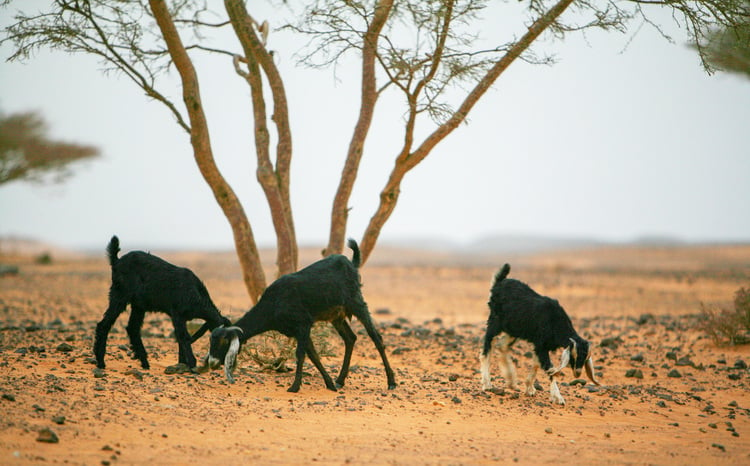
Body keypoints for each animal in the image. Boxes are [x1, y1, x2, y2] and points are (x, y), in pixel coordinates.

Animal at [94, 237, 231, 372]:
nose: (223, 361)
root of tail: (116, 261)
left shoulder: (181, 318)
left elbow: (180, 338)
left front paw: (182, 362)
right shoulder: (177, 314)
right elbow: (183, 337)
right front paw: (191, 364)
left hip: (138, 305)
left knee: (132, 328)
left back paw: (145, 363)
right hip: (119, 295)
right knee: (104, 324)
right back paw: (101, 362)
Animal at [200, 238, 400, 392]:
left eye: (223, 342)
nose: (212, 362)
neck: (274, 303)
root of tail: (351, 263)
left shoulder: (303, 324)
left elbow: (301, 354)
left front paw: (294, 387)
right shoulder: (297, 330)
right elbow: (313, 355)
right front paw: (329, 384)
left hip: (357, 302)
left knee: (376, 338)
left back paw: (391, 382)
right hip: (337, 316)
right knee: (350, 338)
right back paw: (340, 381)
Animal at [484, 264, 604, 406]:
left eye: (586, 357)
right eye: (574, 356)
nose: (578, 373)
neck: (555, 320)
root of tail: (499, 282)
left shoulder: (540, 345)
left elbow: (537, 364)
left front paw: (529, 388)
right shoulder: (541, 345)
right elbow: (549, 368)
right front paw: (558, 397)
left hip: (513, 330)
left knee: (501, 346)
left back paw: (511, 381)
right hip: (495, 322)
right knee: (487, 346)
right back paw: (487, 384)